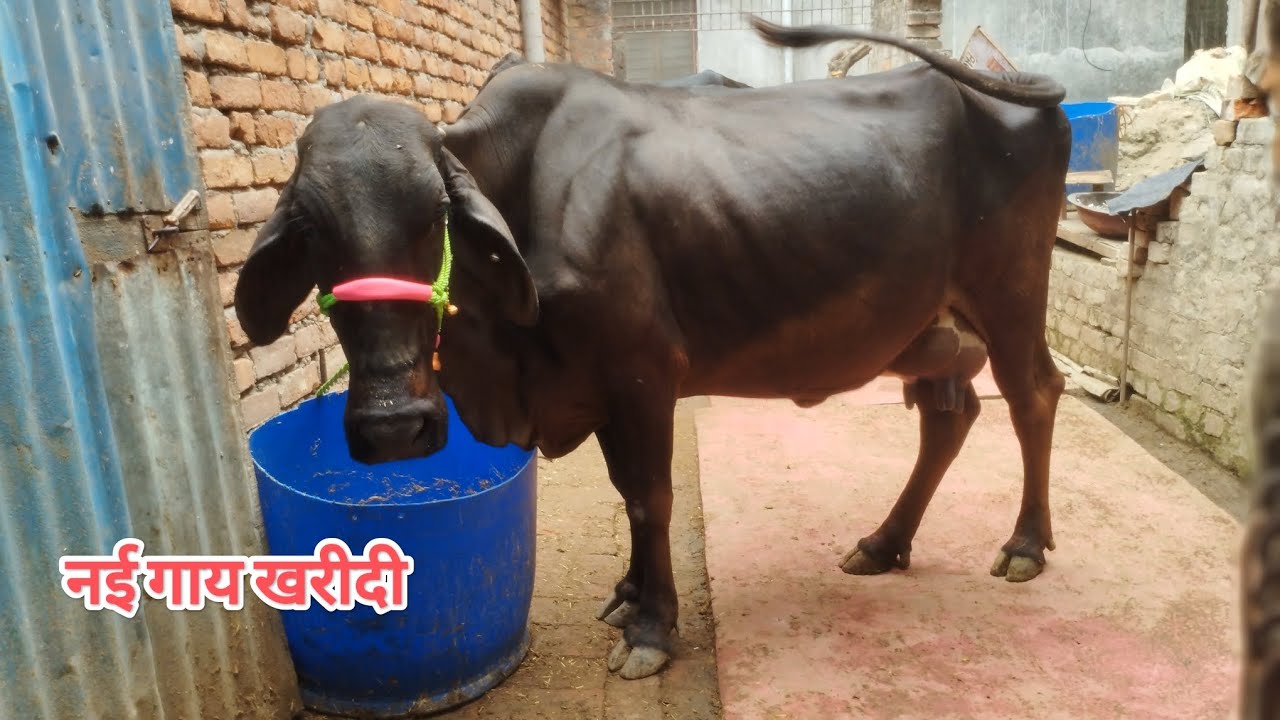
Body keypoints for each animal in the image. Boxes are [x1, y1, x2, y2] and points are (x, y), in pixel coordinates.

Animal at [232, 16, 1072, 680]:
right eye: (308, 228)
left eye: (435, 213)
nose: (393, 428)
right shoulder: (594, 384)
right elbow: (622, 489)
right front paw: (630, 594)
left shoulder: (640, 375)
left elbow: (648, 496)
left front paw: (652, 627)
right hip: (934, 330)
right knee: (949, 417)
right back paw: (885, 541)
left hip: (1011, 298)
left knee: (1033, 395)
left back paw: (1025, 545)